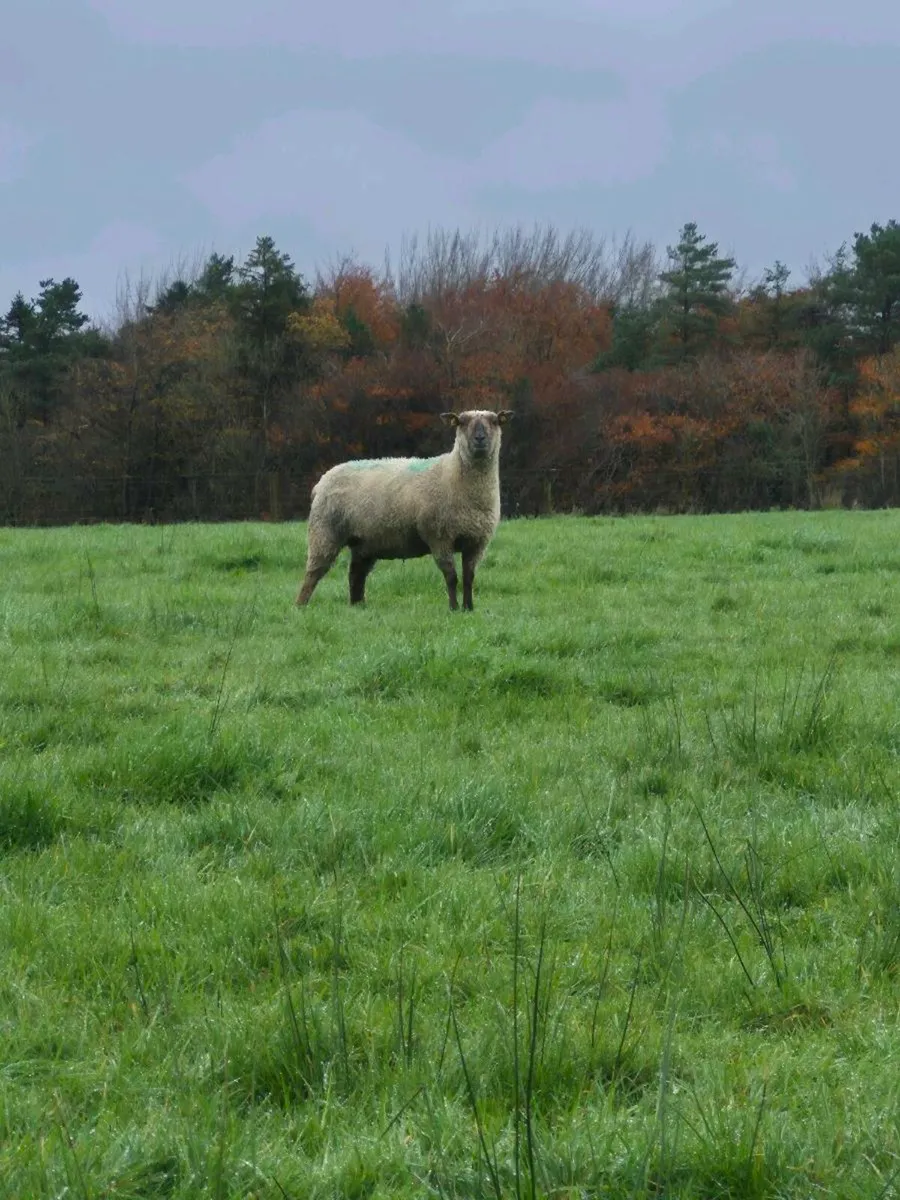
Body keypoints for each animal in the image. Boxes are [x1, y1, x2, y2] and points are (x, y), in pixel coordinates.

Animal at [295, 409, 514, 611]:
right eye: (461, 422)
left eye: (495, 421)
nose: (480, 438)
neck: (454, 474)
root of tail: (322, 481)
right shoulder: (439, 537)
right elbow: (451, 577)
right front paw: (453, 608)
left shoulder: (477, 541)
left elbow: (469, 578)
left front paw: (468, 608)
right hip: (324, 532)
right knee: (313, 572)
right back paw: (301, 606)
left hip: (364, 542)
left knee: (356, 575)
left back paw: (358, 606)